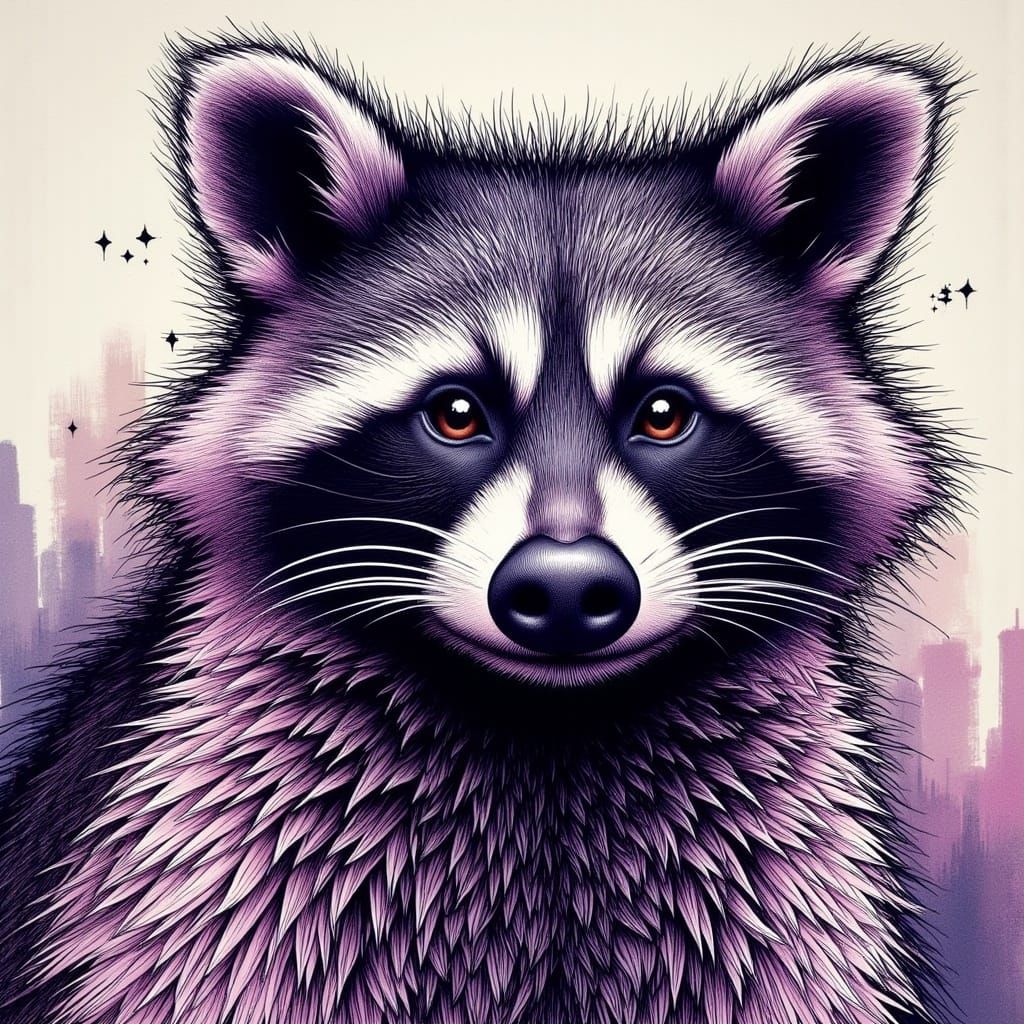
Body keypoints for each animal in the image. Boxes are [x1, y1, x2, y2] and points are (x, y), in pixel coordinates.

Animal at [0, 33, 966, 1024]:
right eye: (456, 413)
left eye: (664, 414)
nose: (569, 588)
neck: (547, 727)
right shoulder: (213, 880)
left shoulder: (773, 903)